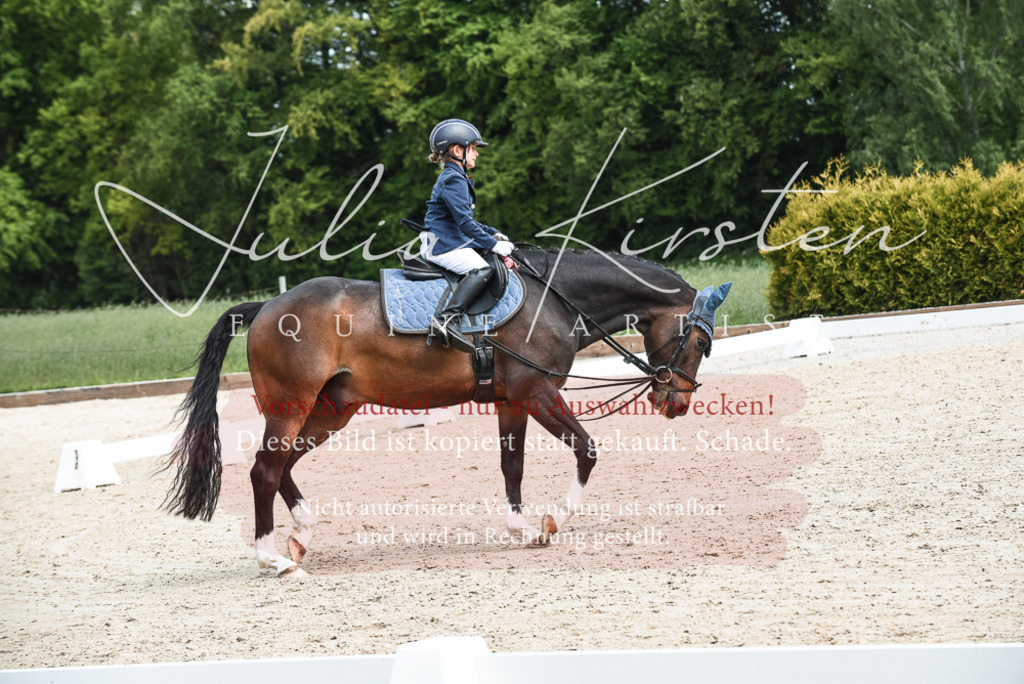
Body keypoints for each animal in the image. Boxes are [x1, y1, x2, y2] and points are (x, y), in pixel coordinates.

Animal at [163, 247, 731, 577]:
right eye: (701, 341)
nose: (677, 403)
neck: (555, 300)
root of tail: (266, 307)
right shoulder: (538, 392)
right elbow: (587, 450)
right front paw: (552, 522)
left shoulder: (513, 400)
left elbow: (512, 465)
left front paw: (522, 530)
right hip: (293, 405)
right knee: (265, 469)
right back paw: (274, 557)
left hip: (330, 410)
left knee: (282, 465)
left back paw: (302, 534)